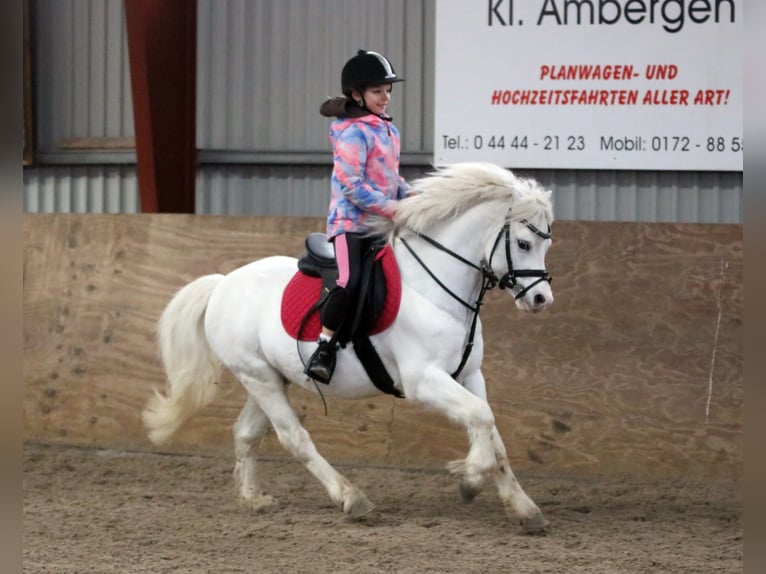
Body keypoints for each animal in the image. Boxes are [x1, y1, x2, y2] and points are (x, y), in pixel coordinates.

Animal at [141, 162, 556, 536]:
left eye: (546, 244)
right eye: (523, 243)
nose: (541, 300)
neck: (434, 289)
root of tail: (223, 282)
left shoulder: (469, 375)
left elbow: (492, 432)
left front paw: (523, 508)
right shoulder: (423, 380)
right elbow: (482, 419)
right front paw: (468, 479)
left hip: (267, 378)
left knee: (246, 433)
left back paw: (253, 499)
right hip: (257, 377)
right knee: (294, 438)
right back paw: (351, 498)